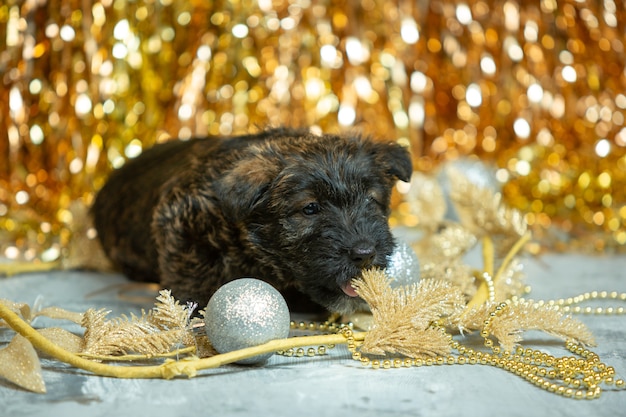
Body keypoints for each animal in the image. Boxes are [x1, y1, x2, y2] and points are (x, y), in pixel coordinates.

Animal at [91, 127, 410, 312]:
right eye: (310, 209)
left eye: (371, 200)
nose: (364, 253)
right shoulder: (179, 220)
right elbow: (191, 271)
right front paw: (195, 304)